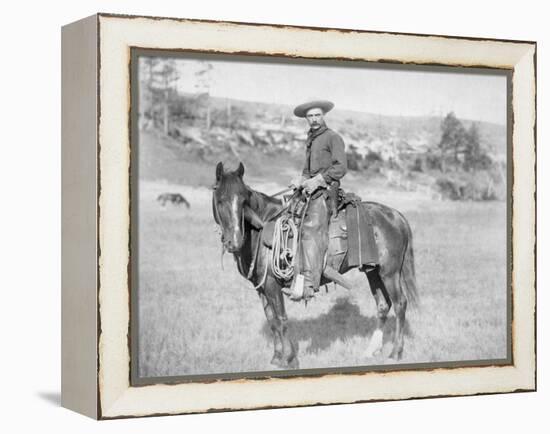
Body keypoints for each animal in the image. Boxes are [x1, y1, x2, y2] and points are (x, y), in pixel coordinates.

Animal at [213, 161, 420, 368]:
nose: (234, 241)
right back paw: (371, 350)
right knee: (383, 305)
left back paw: (395, 352)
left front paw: (289, 359)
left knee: (400, 304)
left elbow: (281, 320)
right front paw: (276, 357)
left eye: (243, 200)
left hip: (389, 273)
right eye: (220, 199)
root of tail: (396, 216)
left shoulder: (272, 285)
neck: (262, 228)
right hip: (373, 271)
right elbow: (272, 321)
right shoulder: (262, 287)